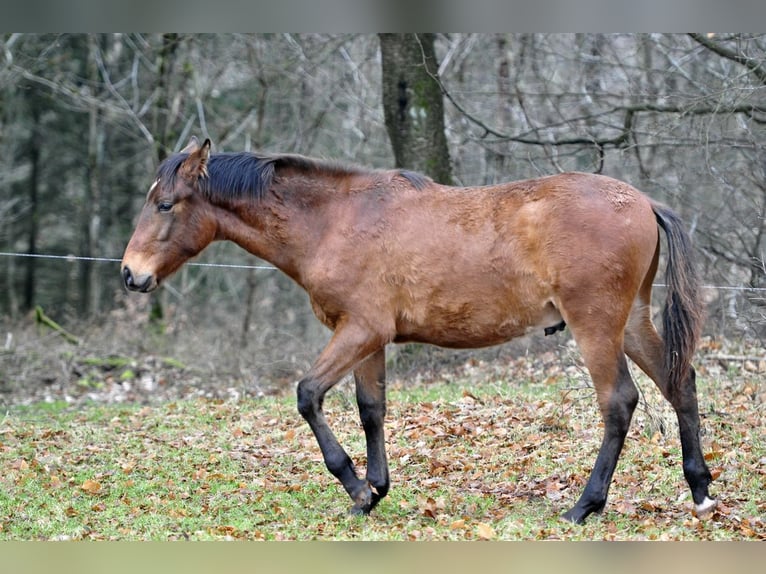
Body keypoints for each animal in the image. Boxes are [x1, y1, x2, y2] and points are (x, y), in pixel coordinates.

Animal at [121, 137, 720, 524]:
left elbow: (309, 396)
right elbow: (371, 410)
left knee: (619, 402)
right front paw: (377, 489)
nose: (131, 274)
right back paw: (700, 490)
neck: (335, 220)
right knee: (680, 384)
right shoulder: (368, 340)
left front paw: (357, 489)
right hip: (632, 324)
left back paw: (584, 506)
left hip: (595, 327)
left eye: (165, 204)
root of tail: (643, 201)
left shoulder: (358, 331)